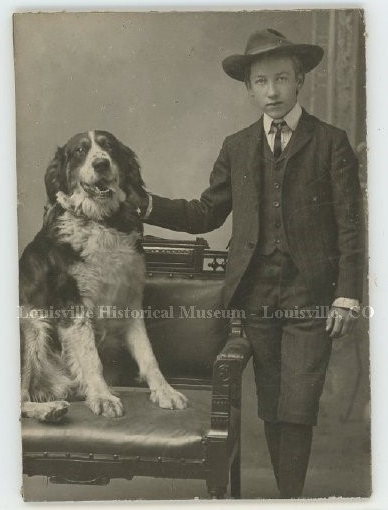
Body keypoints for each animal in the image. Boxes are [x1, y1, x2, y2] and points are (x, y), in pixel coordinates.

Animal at [19, 130, 186, 422]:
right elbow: (90, 357)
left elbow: (148, 354)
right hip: (30, 322)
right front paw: (103, 396)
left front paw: (165, 391)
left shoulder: (129, 301)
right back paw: (50, 410)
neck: (102, 222)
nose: (101, 164)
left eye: (109, 147)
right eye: (80, 151)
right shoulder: (73, 304)